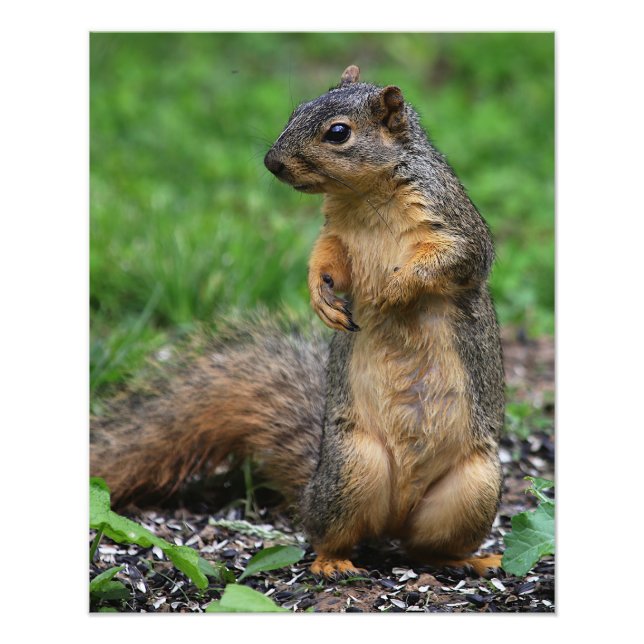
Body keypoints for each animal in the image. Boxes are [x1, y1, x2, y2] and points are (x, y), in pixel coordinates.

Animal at [90, 65, 505, 578]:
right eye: (295, 111)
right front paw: (320, 297)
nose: (272, 162)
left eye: (339, 133)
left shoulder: (454, 226)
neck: (364, 198)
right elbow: (325, 261)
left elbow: (448, 262)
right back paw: (333, 562)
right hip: (352, 469)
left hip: (473, 488)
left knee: (425, 548)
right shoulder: (336, 234)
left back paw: (476, 558)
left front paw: (391, 291)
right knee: (333, 534)